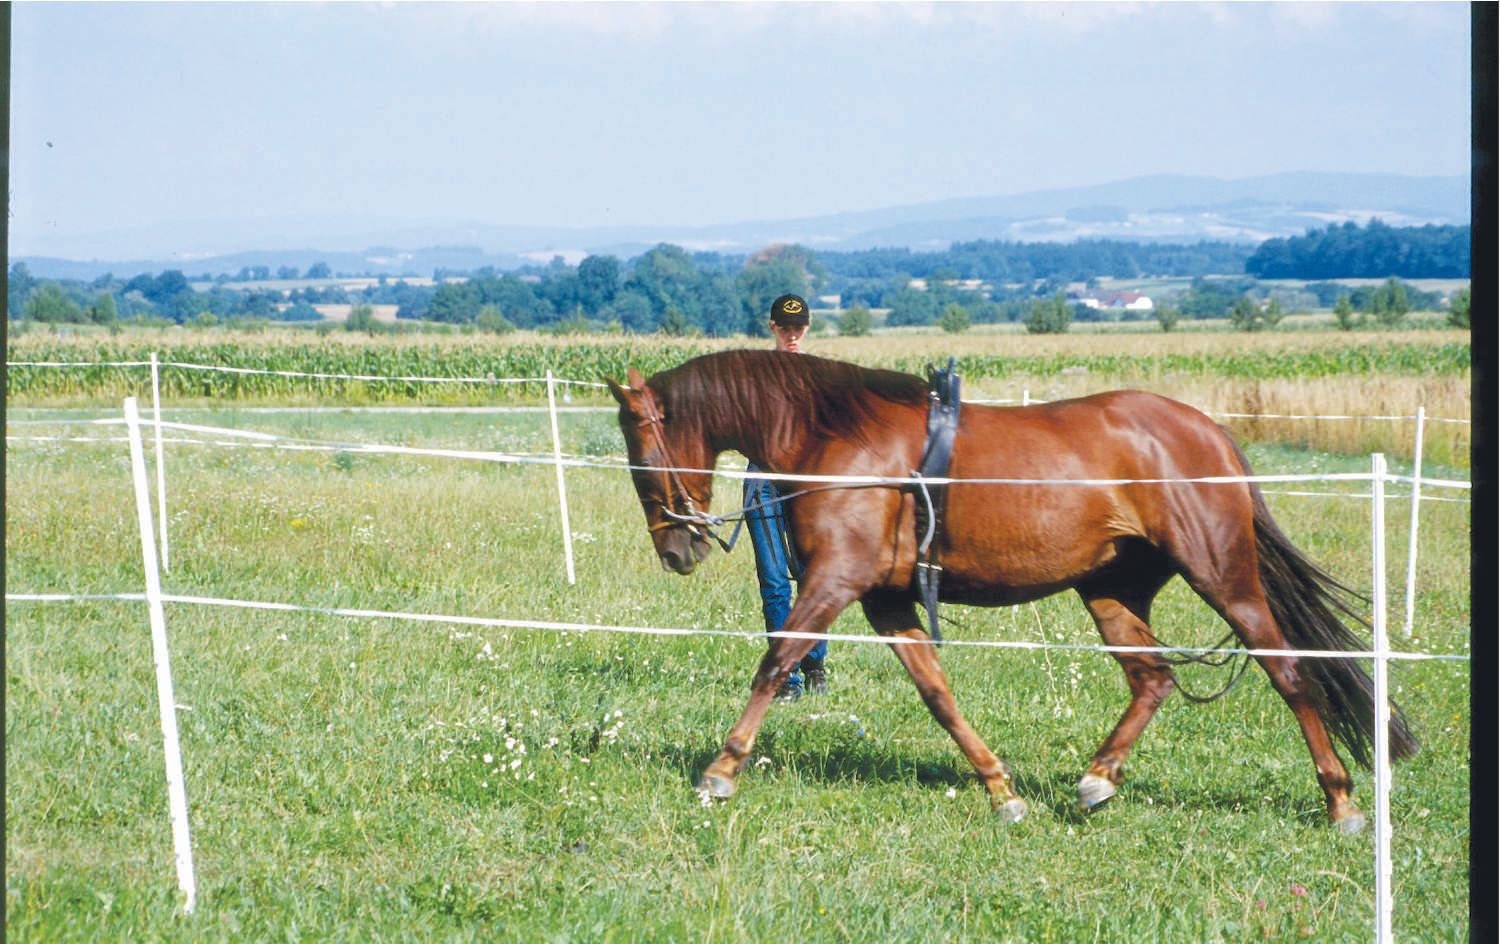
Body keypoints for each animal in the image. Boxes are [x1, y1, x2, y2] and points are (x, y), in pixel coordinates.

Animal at [606, 349, 1416, 828]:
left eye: (640, 456)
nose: (676, 547)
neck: (837, 440)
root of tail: (1209, 432)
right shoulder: (886, 600)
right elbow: (937, 694)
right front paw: (1001, 789)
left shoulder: (836, 583)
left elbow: (776, 662)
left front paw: (720, 772)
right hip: (1112, 590)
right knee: (1152, 680)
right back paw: (1097, 779)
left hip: (1222, 576)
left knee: (1288, 672)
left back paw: (1341, 800)